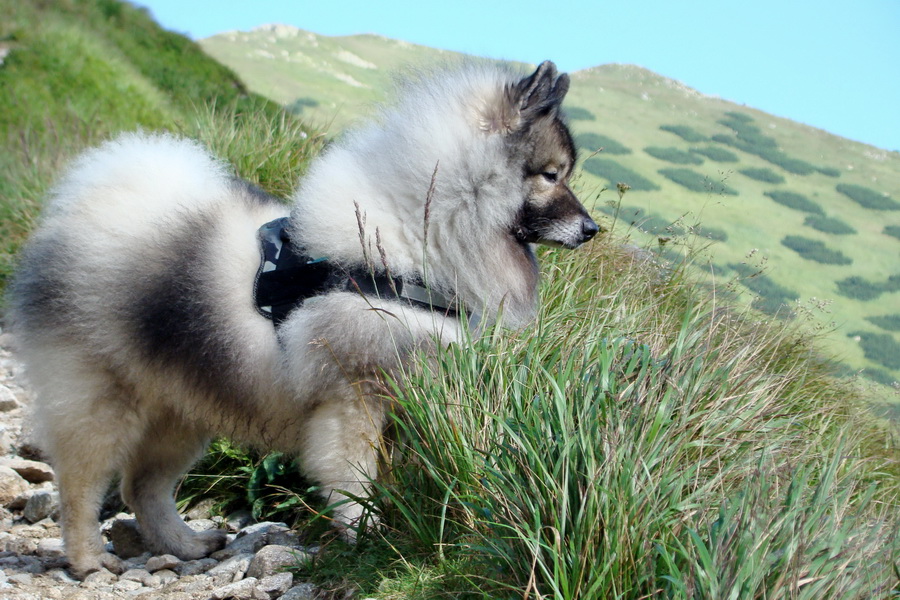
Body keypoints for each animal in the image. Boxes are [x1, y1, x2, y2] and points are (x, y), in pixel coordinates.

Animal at [7, 61, 600, 576]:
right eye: (551, 175)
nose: (593, 229)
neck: (417, 233)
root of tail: (89, 205)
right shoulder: (353, 396)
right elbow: (353, 478)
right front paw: (365, 532)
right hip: (102, 400)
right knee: (80, 486)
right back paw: (88, 560)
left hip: (182, 410)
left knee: (142, 488)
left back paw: (186, 543)